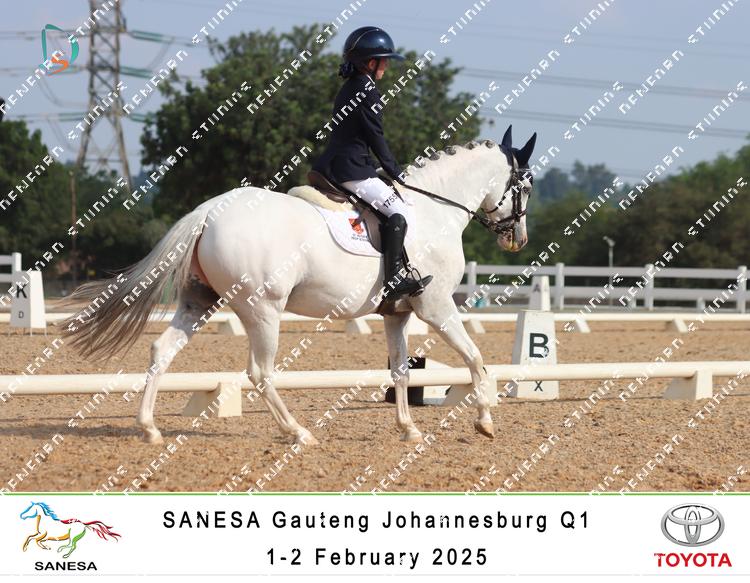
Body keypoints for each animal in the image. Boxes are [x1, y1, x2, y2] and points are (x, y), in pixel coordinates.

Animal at [62, 125, 536, 446]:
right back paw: (299, 433)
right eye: (526, 185)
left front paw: (409, 428)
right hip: (263, 309)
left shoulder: (397, 314)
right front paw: (485, 421)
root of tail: (210, 210)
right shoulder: (435, 307)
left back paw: (150, 429)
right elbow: (476, 359)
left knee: (162, 351)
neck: (433, 209)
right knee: (260, 372)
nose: (518, 239)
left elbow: (401, 371)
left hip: (200, 302)